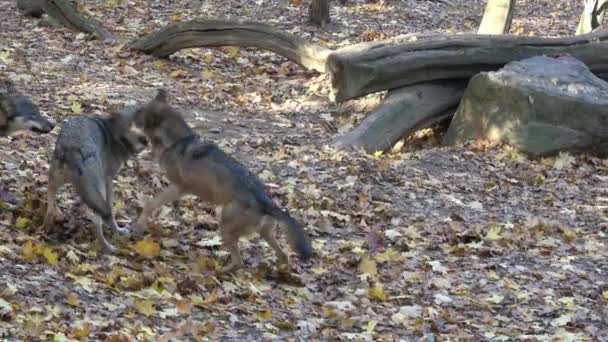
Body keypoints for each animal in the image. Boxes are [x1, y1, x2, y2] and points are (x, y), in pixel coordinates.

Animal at [41, 105, 148, 252]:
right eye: (133, 124)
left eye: (144, 125)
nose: (145, 141)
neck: (114, 133)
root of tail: (72, 147)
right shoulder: (108, 180)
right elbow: (111, 212)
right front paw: (118, 230)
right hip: (99, 189)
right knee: (96, 223)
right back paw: (108, 248)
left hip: (53, 183)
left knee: (50, 208)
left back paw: (45, 229)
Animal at [132, 89, 314, 272]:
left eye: (140, 112)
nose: (129, 111)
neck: (178, 140)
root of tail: (266, 203)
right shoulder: (177, 190)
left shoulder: (177, 187)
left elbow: (150, 205)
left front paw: (139, 226)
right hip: (265, 233)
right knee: (284, 256)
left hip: (225, 225)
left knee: (239, 262)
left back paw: (218, 271)